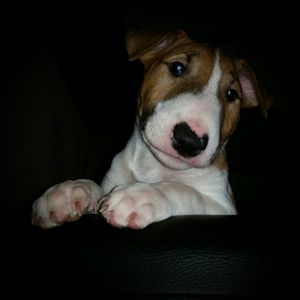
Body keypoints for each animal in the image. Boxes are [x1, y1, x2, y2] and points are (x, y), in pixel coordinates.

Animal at [31, 29, 270, 230]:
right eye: (177, 67)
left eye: (231, 94)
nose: (189, 141)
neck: (158, 167)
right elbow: (96, 188)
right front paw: (69, 191)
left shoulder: (222, 206)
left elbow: (187, 191)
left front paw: (143, 195)